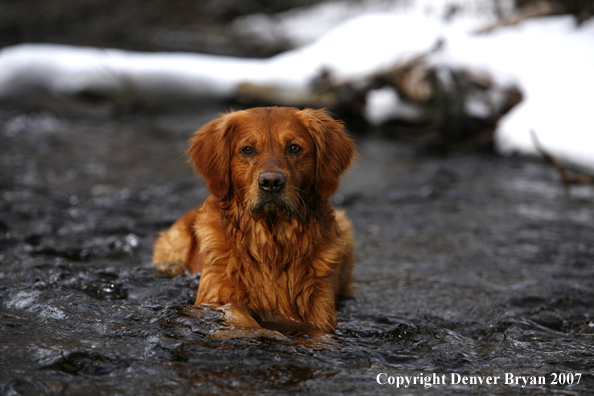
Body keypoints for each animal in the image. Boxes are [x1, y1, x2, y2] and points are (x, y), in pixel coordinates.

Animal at [154, 107, 356, 334]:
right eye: (248, 149)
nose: (271, 182)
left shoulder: (318, 312)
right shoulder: (214, 297)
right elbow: (238, 315)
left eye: (294, 148)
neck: (270, 244)